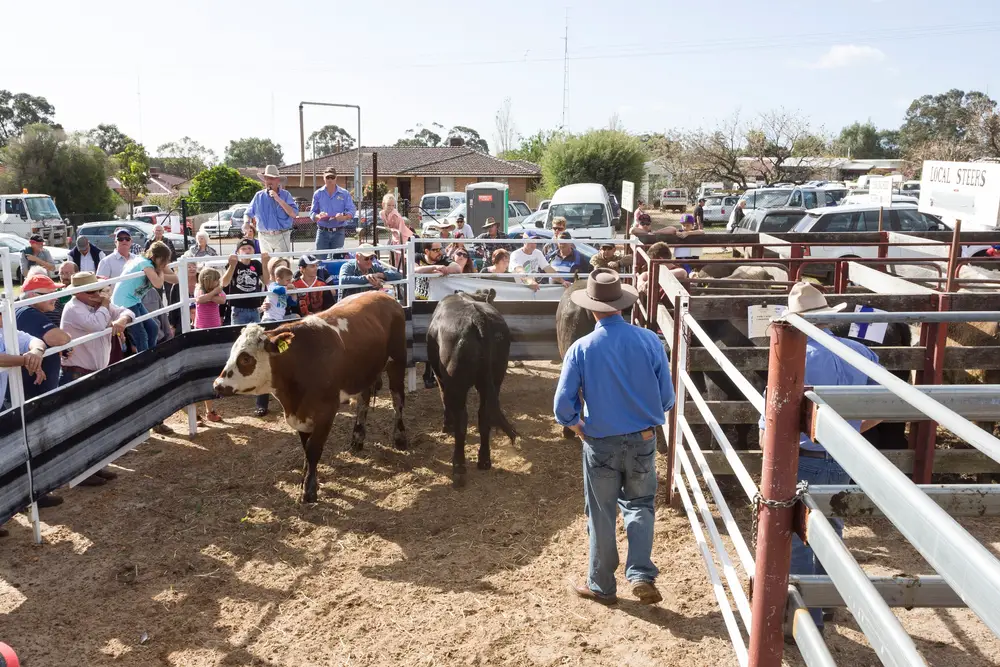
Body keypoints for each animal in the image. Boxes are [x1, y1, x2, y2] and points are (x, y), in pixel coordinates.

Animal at [213, 290, 408, 504]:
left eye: (246, 358)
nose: (217, 385)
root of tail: (383, 294)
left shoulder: (326, 411)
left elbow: (314, 449)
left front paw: (309, 490)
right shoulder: (301, 414)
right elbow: (306, 449)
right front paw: (304, 479)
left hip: (397, 361)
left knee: (398, 399)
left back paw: (400, 437)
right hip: (365, 373)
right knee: (363, 403)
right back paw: (357, 437)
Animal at [426, 290, 520, 488]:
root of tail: (478, 318)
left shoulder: (440, 376)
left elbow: (443, 397)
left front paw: (446, 425)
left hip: (457, 383)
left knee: (462, 418)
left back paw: (459, 467)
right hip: (496, 377)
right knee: (484, 414)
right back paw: (484, 460)